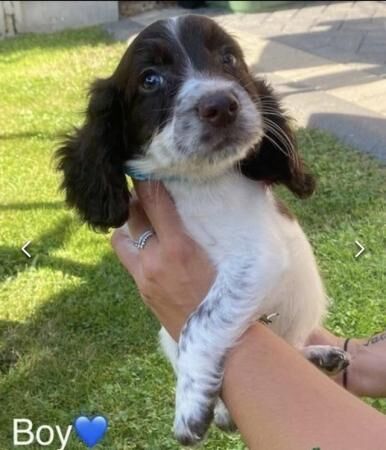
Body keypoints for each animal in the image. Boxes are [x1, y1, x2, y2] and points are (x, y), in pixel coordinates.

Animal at [56, 14, 350, 446]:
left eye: (229, 59)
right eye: (150, 79)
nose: (221, 105)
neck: (196, 184)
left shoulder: (257, 258)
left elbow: (200, 320)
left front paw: (189, 407)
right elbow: (191, 332)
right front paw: (205, 401)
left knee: (291, 344)